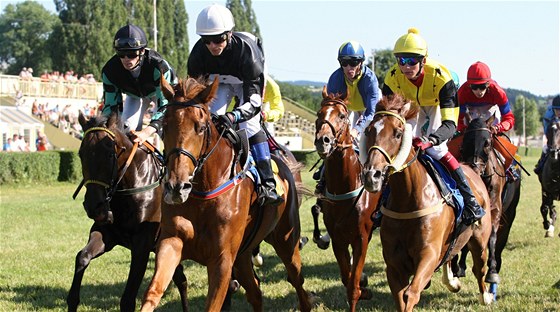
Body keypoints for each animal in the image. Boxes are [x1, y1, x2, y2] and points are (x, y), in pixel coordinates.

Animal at [68, 112, 187, 312]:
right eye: (80, 154)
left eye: (110, 154)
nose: (94, 205)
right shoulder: (106, 233)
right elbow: (82, 257)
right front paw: (73, 299)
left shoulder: (143, 244)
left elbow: (127, 299)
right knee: (181, 279)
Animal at [138, 76, 312, 312]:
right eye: (164, 126)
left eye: (201, 127)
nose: (176, 187)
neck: (203, 193)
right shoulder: (172, 242)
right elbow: (153, 292)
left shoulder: (222, 260)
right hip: (244, 254)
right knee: (255, 292)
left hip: (286, 240)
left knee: (297, 281)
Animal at [316, 89, 380, 310]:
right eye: (319, 113)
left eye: (342, 116)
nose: (323, 140)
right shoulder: (338, 239)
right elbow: (347, 277)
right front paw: (364, 287)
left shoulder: (361, 238)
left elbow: (353, 287)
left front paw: (362, 290)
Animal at [358, 95, 494, 312]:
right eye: (369, 131)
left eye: (398, 134)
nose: (372, 175)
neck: (408, 199)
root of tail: (472, 168)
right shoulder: (394, 265)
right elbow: (400, 297)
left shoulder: (428, 254)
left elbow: (411, 294)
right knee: (450, 256)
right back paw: (452, 282)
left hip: (480, 239)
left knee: (479, 267)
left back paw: (486, 296)